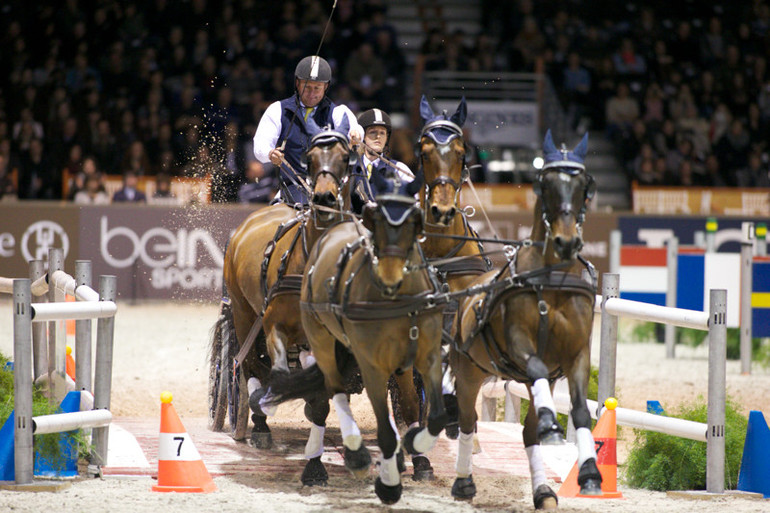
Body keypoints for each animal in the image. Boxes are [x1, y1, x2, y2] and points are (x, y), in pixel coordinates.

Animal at [266, 195, 448, 504]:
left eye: (414, 223)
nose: (389, 276)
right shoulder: (370, 363)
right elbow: (378, 425)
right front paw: (386, 481)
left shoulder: (424, 358)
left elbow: (424, 411)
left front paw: (414, 452)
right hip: (320, 341)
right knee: (330, 395)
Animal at [450, 129, 600, 508]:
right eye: (545, 184)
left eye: (583, 186)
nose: (566, 241)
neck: (552, 281)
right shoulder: (521, 344)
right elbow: (535, 367)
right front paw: (552, 427)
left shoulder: (576, 354)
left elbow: (580, 411)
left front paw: (590, 474)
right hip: (469, 371)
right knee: (468, 420)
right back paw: (463, 482)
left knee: (528, 433)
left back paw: (543, 491)